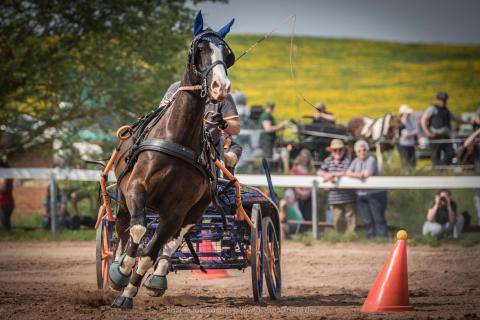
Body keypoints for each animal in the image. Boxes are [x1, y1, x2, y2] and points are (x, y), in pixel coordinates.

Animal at [109, 11, 236, 308]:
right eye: (199, 49)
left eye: (227, 55)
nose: (220, 86)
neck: (177, 138)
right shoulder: (136, 188)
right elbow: (138, 230)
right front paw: (121, 272)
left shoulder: (176, 211)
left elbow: (151, 252)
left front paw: (129, 293)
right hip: (122, 197)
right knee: (123, 227)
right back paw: (117, 266)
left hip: (196, 210)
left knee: (173, 241)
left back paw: (156, 279)